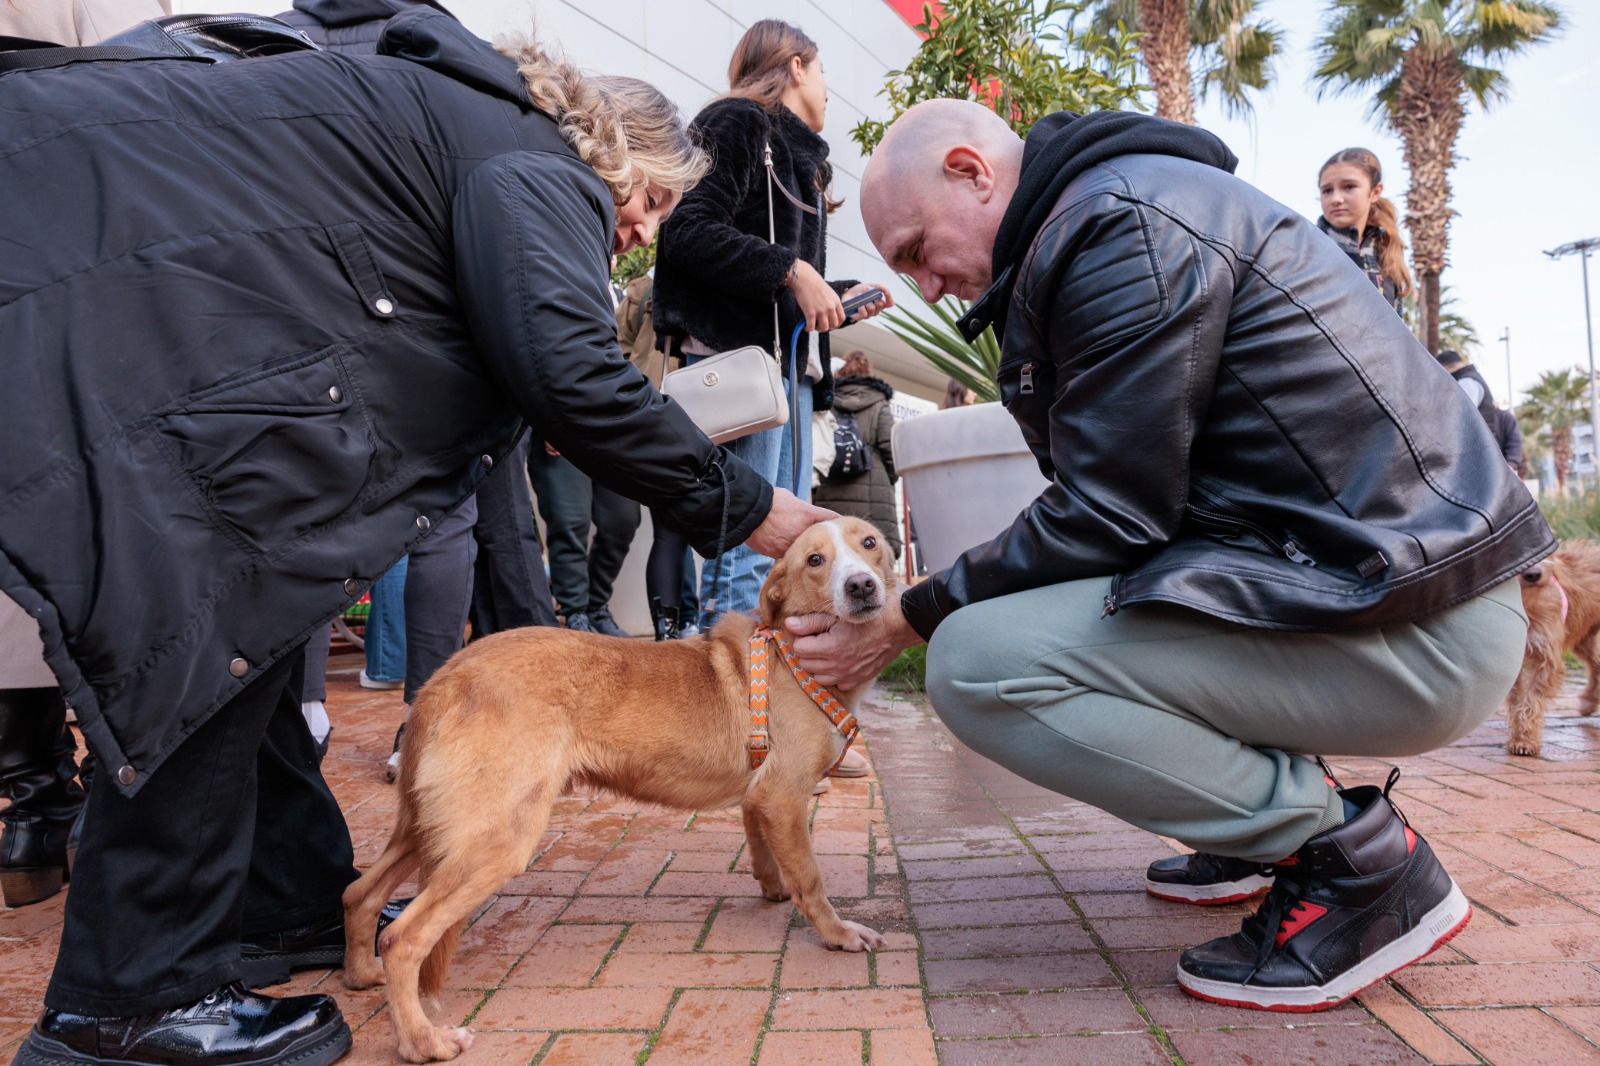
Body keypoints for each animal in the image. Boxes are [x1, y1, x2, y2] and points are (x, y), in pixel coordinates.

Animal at [339, 512, 902, 1056]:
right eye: (814, 560)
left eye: (871, 544)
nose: (861, 586)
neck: (790, 653)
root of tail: (447, 676)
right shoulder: (782, 798)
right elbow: (812, 880)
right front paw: (837, 933)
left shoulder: (758, 798)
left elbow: (765, 854)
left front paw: (773, 888)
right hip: (497, 838)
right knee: (403, 938)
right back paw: (421, 1040)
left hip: (433, 826)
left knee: (358, 892)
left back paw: (361, 974)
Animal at [1497, 541, 1600, 755]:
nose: (1533, 574)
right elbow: (1518, 698)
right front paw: (1520, 735)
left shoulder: (1548, 658)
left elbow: (1532, 699)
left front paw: (1525, 740)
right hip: (1583, 640)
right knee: (1596, 664)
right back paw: (1590, 701)